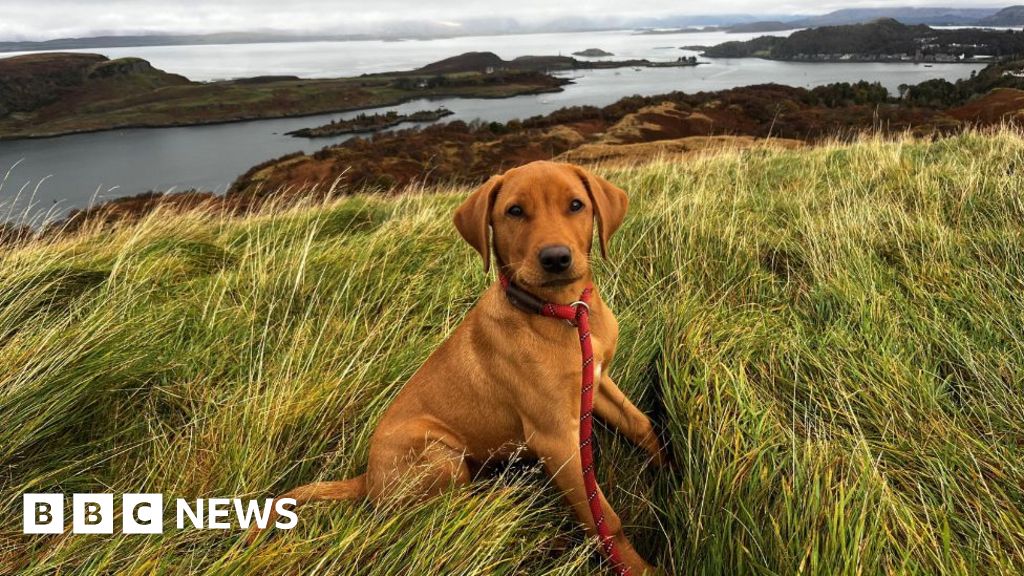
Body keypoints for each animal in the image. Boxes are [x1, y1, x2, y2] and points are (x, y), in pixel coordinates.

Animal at [245, 158, 663, 569]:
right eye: (514, 211)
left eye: (576, 205)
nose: (556, 259)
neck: (563, 312)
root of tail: (368, 479)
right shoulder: (555, 437)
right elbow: (604, 519)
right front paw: (638, 568)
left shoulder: (597, 381)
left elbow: (641, 426)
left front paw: (667, 470)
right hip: (439, 453)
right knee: (444, 512)